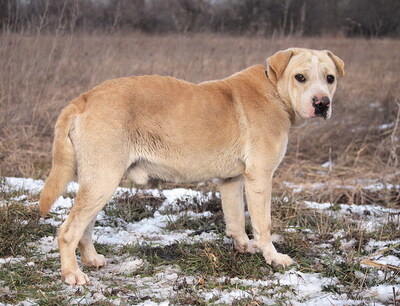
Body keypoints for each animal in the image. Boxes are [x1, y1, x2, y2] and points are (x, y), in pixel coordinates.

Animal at [40, 47, 346, 284]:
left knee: (84, 227)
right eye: (300, 77)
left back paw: (91, 259)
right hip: (103, 179)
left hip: (97, 181)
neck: (275, 91)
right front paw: (272, 257)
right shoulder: (260, 177)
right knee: (68, 232)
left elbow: (236, 218)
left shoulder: (232, 180)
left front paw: (244, 246)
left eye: (330, 78)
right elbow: (263, 224)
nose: (322, 103)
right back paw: (72, 274)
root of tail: (83, 98)